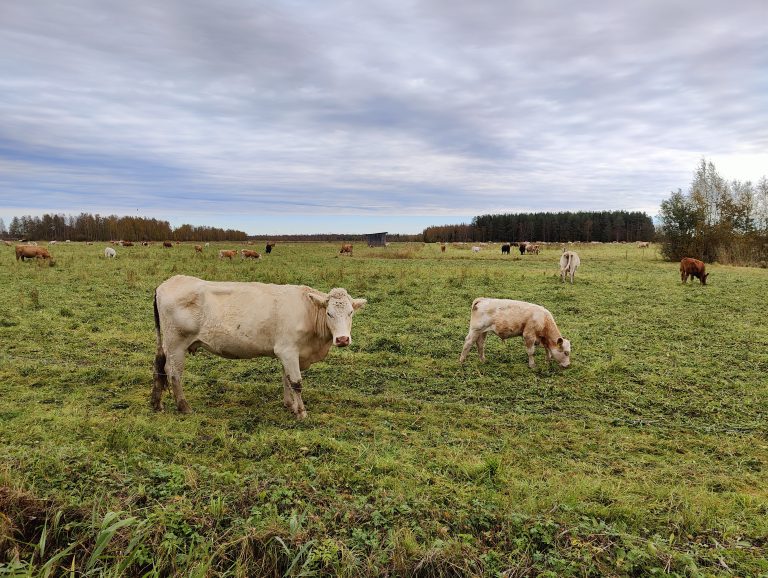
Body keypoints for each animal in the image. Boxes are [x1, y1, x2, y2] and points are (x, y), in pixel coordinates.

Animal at [152, 276, 368, 416]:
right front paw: (301, 412)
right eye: (329, 313)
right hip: (176, 344)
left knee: (159, 367)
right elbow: (296, 383)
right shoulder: (288, 350)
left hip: (166, 344)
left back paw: (156, 403)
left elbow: (286, 379)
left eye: (350, 313)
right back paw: (184, 407)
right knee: (173, 373)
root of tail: (169, 282)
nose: (342, 339)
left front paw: (290, 405)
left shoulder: (288, 354)